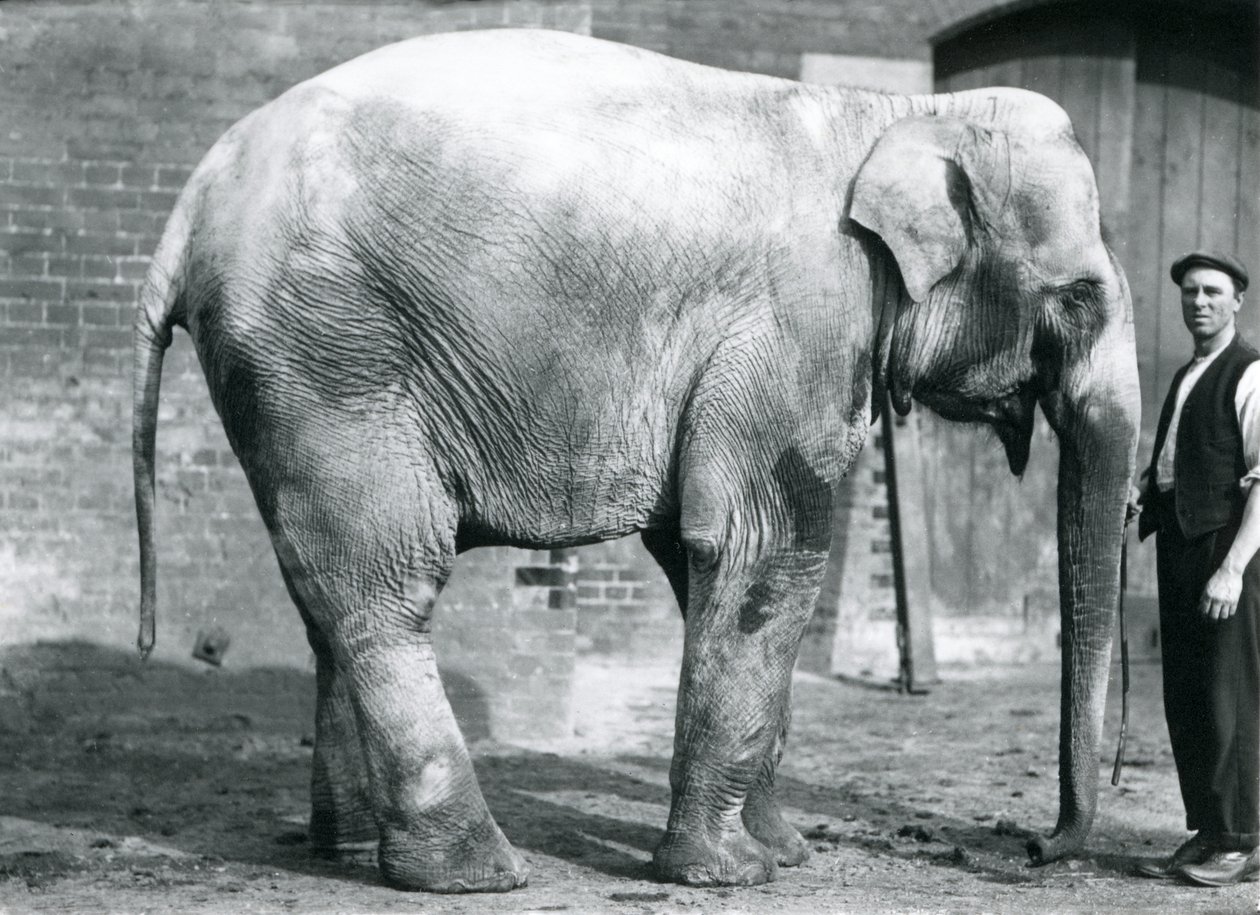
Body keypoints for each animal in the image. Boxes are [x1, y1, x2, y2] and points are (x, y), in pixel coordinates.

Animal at [132, 29, 1139, 893]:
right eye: (1080, 299)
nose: (1030, 847)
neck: (897, 109)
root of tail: (189, 207)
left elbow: (702, 559)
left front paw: (784, 851)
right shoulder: (794, 324)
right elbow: (764, 544)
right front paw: (729, 874)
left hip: (289, 371)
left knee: (324, 591)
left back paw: (347, 852)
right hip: (330, 352)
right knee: (384, 581)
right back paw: (478, 872)